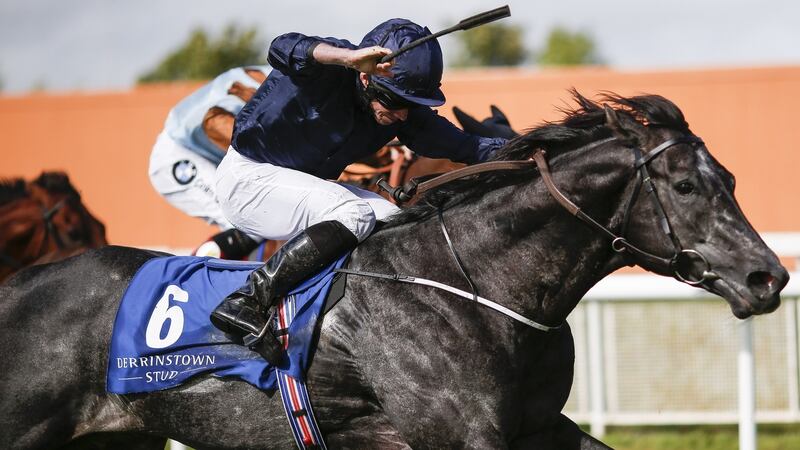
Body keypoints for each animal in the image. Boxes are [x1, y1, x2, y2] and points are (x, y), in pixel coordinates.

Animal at [0, 93, 788, 448]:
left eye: (729, 180)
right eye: (684, 186)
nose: (768, 278)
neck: (476, 283)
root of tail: (17, 286)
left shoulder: (533, 426)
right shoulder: (458, 438)